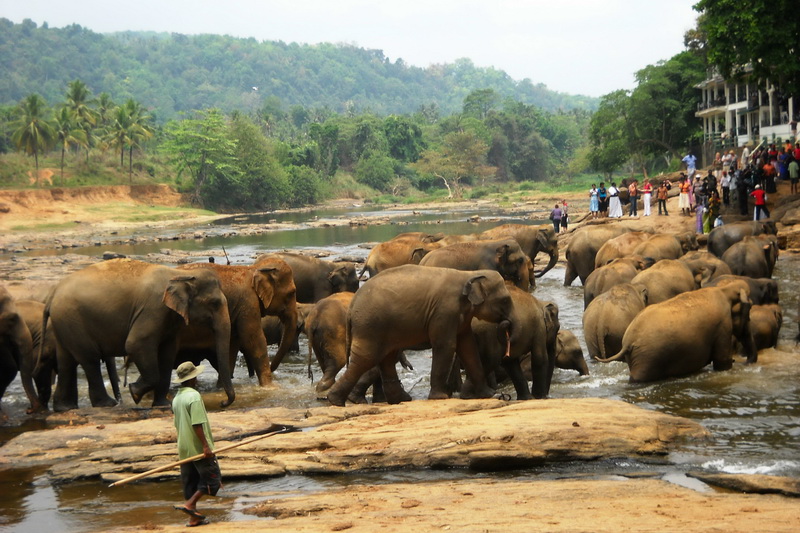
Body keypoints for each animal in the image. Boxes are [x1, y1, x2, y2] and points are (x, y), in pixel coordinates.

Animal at [43, 258, 231, 412]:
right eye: (214, 303)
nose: (222, 403)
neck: (179, 274)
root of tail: (52, 295)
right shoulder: (153, 308)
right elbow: (135, 344)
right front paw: (134, 393)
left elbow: (168, 353)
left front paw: (162, 405)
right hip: (72, 320)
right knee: (89, 359)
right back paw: (106, 404)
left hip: (65, 323)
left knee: (66, 360)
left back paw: (65, 408)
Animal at [324, 264, 512, 406]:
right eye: (505, 300)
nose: (507, 322)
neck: (468, 274)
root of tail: (352, 305)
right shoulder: (445, 311)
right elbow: (446, 345)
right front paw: (440, 398)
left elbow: (468, 347)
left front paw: (489, 394)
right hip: (370, 326)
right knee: (367, 358)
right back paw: (336, 401)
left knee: (386, 358)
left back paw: (400, 400)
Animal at [600, 280, 756, 380]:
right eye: (749, 308)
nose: (744, 361)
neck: (725, 290)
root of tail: (627, 342)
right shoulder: (722, 325)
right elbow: (722, 361)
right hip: (647, 357)